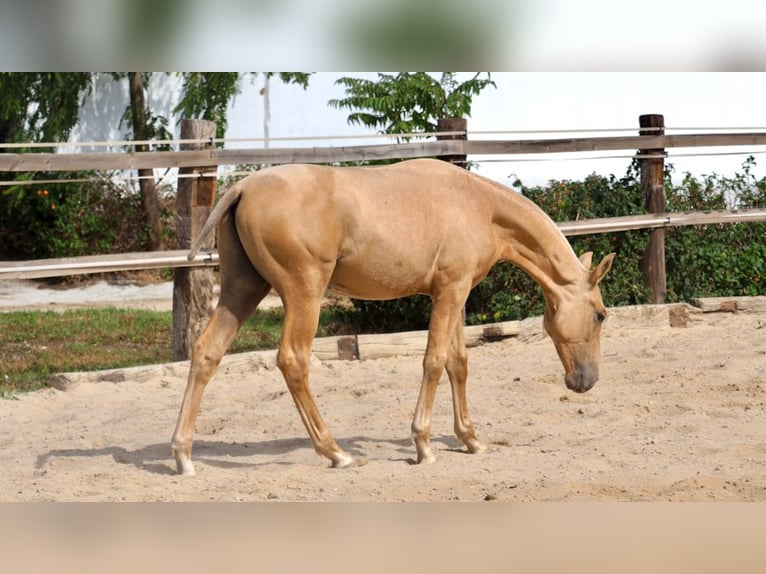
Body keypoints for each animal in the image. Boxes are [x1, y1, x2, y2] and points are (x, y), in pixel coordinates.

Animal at [171, 158, 616, 476]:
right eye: (600, 315)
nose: (586, 381)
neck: (480, 206)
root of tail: (243, 187)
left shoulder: (454, 294)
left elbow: (458, 363)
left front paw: (471, 440)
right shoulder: (449, 293)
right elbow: (434, 362)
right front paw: (423, 445)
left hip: (242, 289)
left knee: (207, 353)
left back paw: (183, 455)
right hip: (303, 294)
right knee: (293, 360)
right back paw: (336, 452)